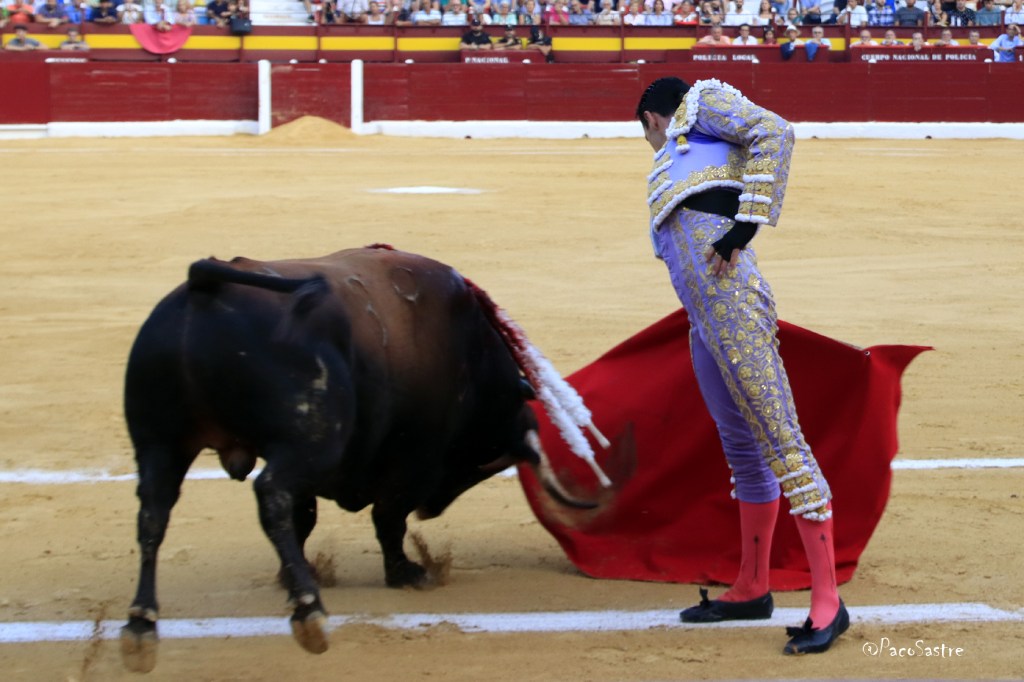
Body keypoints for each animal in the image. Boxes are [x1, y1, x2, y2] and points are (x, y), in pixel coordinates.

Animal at [120, 245, 604, 672]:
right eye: (488, 460)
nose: (433, 508)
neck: (472, 349)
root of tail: (205, 283)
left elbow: (306, 519)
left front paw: (295, 574)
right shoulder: (413, 460)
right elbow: (387, 519)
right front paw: (405, 572)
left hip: (161, 445)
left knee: (153, 513)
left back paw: (141, 625)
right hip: (307, 442)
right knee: (270, 493)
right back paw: (309, 611)